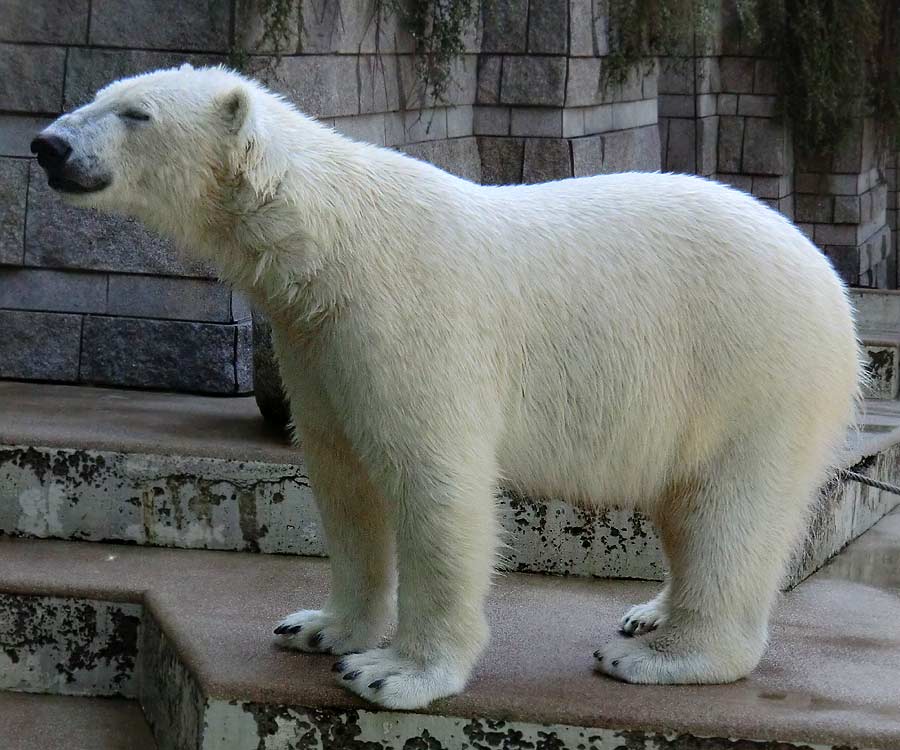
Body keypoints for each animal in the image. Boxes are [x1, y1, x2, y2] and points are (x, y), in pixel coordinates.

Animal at [33, 64, 864, 712]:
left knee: (732, 509)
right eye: (102, 94)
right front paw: (317, 627)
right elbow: (342, 480)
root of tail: (832, 285)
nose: (47, 144)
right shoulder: (315, 343)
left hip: (753, 372)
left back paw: (658, 655)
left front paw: (393, 673)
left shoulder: (408, 323)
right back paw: (649, 614)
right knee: (686, 505)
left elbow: (434, 484)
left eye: (136, 113)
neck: (330, 243)